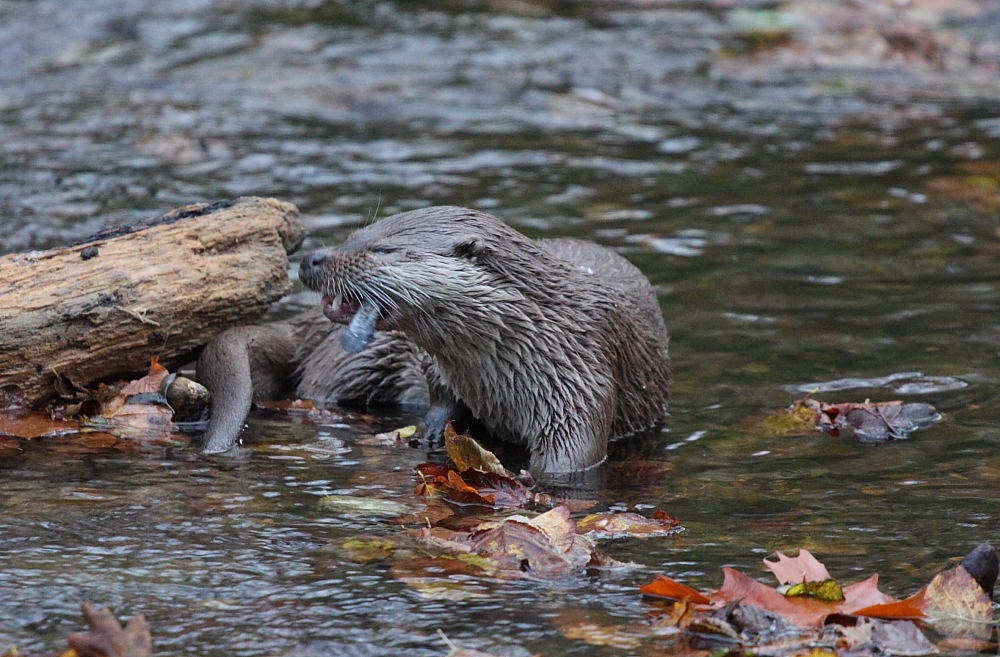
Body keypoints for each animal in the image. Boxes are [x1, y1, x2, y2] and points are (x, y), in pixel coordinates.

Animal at [296, 205, 672, 472]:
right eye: (352, 236)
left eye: (382, 250)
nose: (311, 259)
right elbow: (442, 398)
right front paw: (429, 431)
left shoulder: (581, 379)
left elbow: (570, 459)